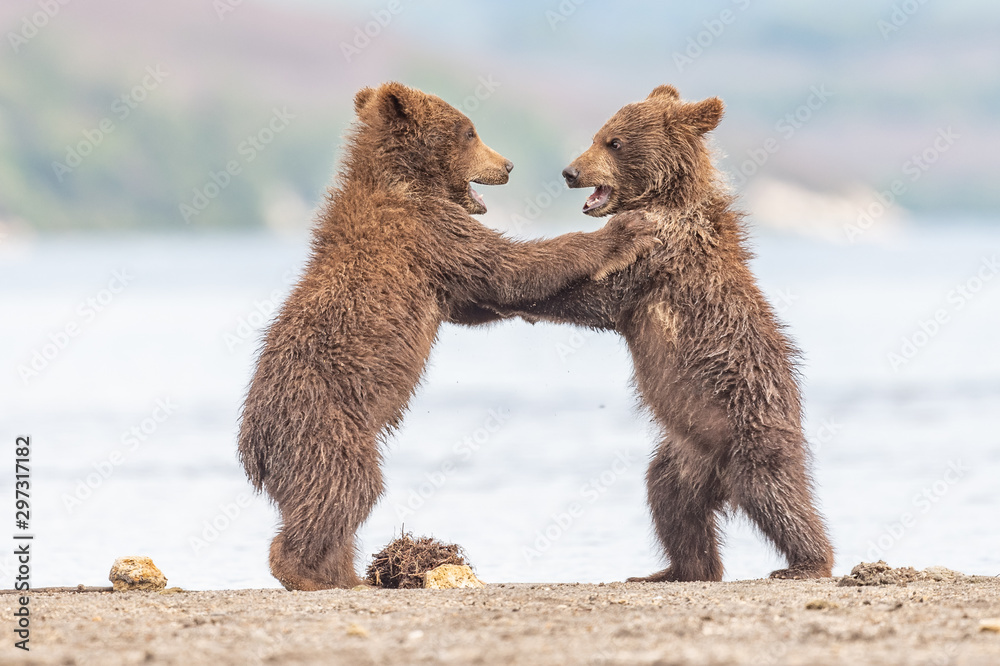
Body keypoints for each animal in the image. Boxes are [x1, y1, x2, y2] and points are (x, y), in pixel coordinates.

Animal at [237, 82, 661, 591]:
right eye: (469, 131)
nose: (507, 165)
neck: (407, 181)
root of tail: (253, 444)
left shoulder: (438, 263)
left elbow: (477, 298)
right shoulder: (429, 231)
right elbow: (506, 264)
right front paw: (626, 231)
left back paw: (347, 574)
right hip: (323, 424)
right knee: (346, 489)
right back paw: (309, 572)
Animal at [494, 85, 834, 582]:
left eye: (613, 142)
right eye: (597, 135)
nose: (570, 172)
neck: (663, 201)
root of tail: (718, 482)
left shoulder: (660, 254)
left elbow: (600, 298)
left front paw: (514, 300)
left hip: (750, 429)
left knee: (777, 496)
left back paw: (807, 562)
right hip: (682, 456)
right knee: (670, 503)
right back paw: (675, 569)